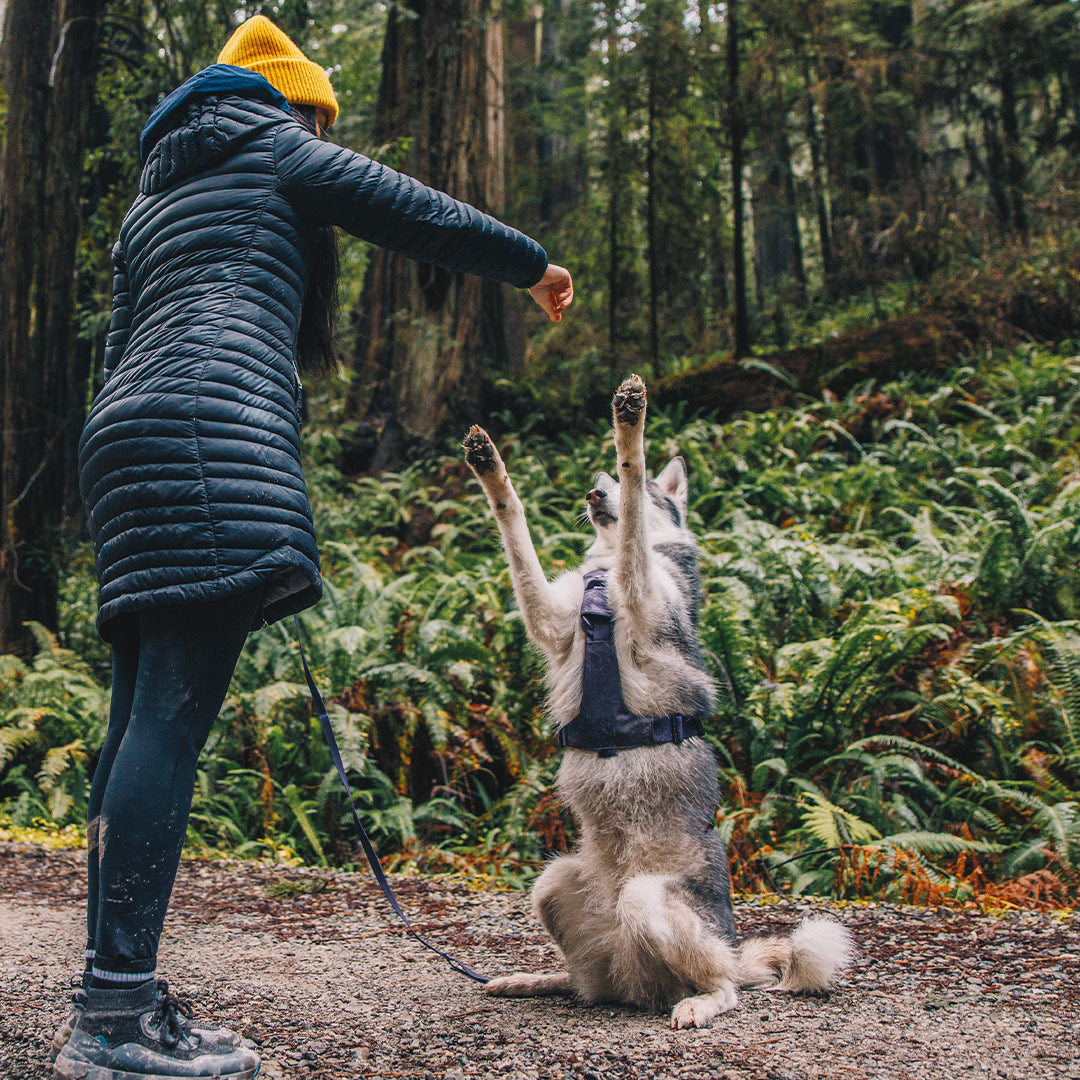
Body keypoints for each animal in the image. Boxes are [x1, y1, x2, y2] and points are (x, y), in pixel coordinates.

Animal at [464, 375, 851, 1023]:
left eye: (631, 487)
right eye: (595, 482)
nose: (594, 492)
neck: (601, 584)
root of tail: (634, 979)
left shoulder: (640, 588)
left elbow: (634, 530)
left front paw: (631, 423)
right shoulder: (548, 616)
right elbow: (513, 521)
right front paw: (490, 466)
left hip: (649, 904)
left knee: (724, 987)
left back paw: (701, 1001)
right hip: (551, 886)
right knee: (584, 981)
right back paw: (537, 979)